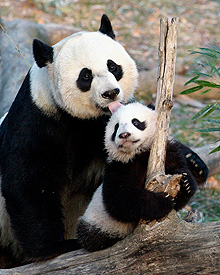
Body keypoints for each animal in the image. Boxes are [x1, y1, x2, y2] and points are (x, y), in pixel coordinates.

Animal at [77, 103, 208, 252]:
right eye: (116, 127)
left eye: (136, 122)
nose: (124, 135)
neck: (139, 152)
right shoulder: (121, 166)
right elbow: (120, 200)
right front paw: (162, 202)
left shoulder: (168, 152)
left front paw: (186, 183)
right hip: (98, 224)